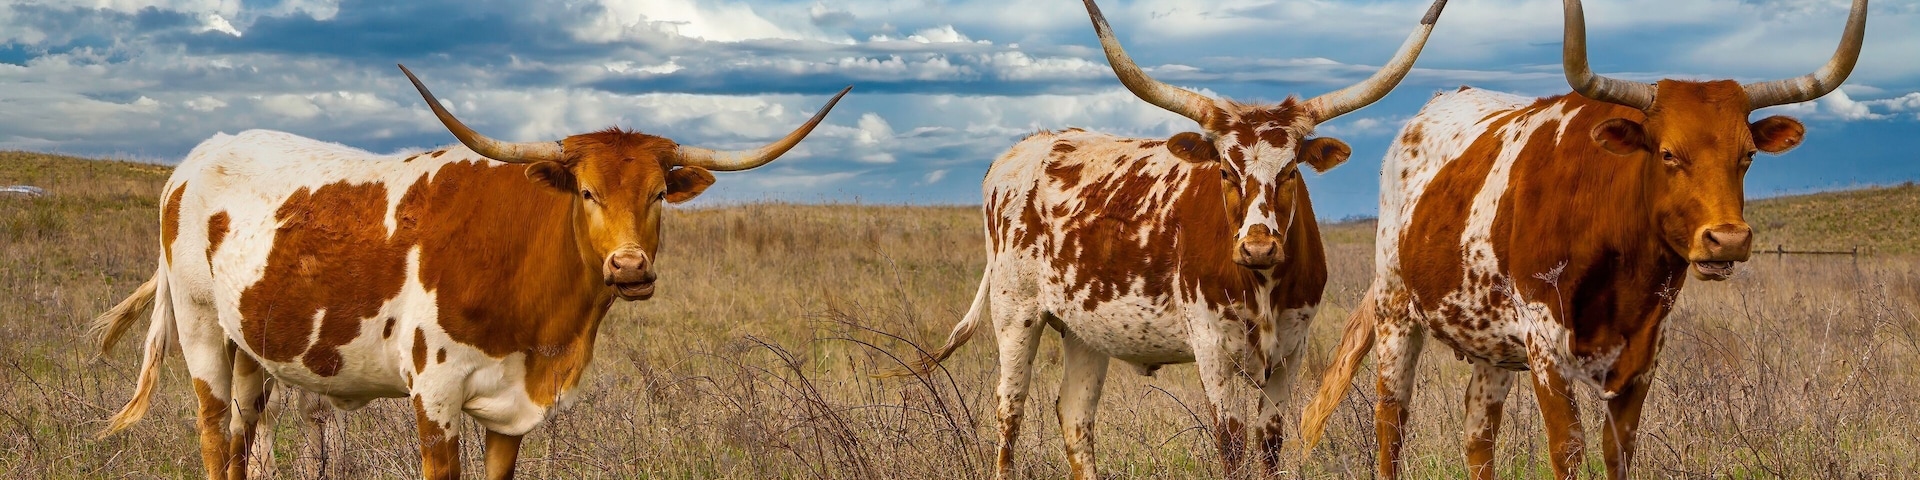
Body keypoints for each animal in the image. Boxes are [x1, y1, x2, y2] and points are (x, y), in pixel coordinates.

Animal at [89, 64, 850, 480]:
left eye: (659, 193)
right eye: (586, 192)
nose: (630, 266)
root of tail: (195, 159)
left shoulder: (513, 412)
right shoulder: (434, 399)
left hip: (253, 348)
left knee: (245, 442)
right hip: (201, 332)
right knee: (214, 437)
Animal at [872, 0, 1448, 478]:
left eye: (1290, 172)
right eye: (1224, 171)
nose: (1258, 247)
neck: (1262, 285)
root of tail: (1019, 151)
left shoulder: (1290, 351)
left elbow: (1268, 447)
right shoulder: (1213, 349)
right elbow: (1232, 447)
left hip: (1083, 329)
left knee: (1075, 417)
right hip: (1015, 313)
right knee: (1008, 414)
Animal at [1297, 0, 1867, 478]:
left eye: (1746, 155)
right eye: (1667, 153)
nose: (1727, 240)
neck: (1620, 268)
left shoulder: (1646, 349)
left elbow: (1618, 451)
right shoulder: (1545, 346)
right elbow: (1567, 448)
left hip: (1489, 345)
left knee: (1478, 438)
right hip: (1396, 309)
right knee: (1391, 423)